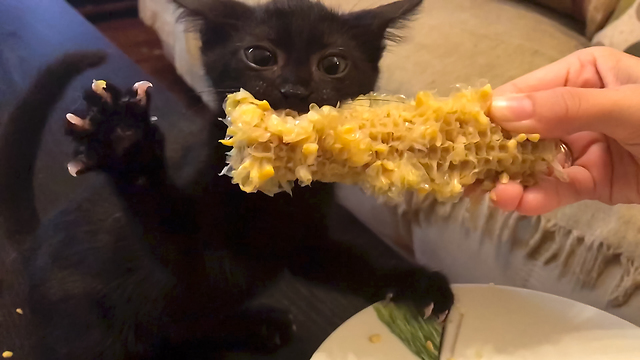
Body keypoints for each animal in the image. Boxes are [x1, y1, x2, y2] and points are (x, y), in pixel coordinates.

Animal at [0, 0, 452, 360]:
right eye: (259, 55)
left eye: (333, 64)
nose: (294, 88)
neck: (277, 192)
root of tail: (33, 245)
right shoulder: (196, 262)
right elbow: (169, 234)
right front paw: (124, 139)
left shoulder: (301, 244)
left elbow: (357, 263)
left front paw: (416, 285)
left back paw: (259, 328)